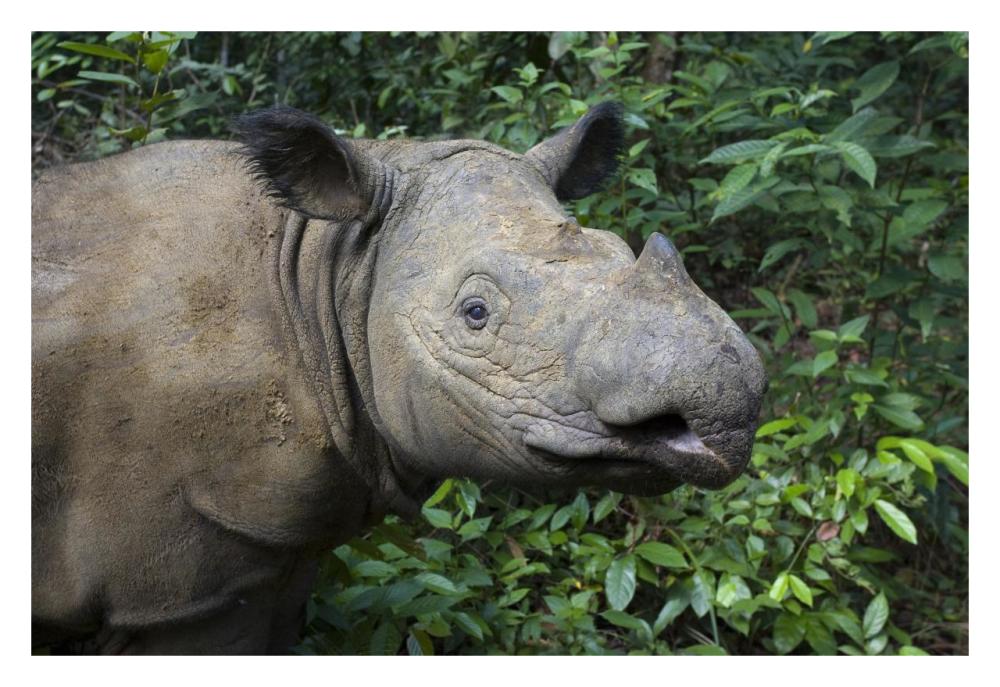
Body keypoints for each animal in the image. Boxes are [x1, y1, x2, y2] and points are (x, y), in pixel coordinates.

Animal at [31, 103, 767, 654]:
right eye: (475, 313)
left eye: (619, 251)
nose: (727, 408)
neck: (330, 267)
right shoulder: (184, 587)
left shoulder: (279, 541)